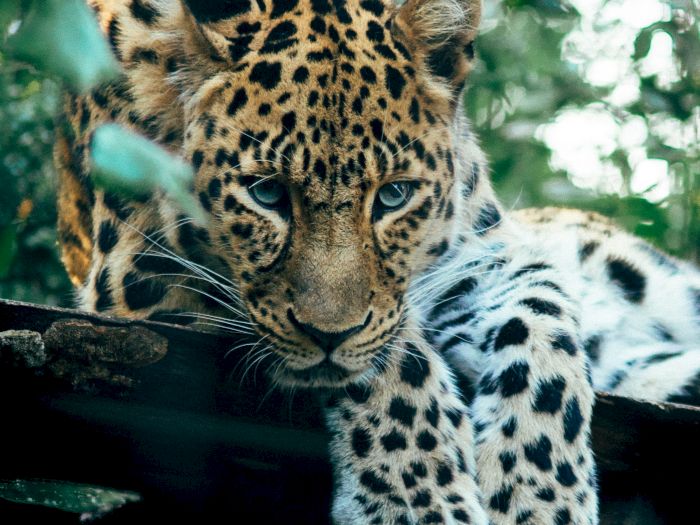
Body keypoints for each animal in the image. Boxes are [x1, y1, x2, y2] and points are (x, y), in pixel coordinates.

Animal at [52, 0, 700, 524]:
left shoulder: (481, 253)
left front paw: (540, 498)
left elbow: (542, 326)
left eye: (394, 196)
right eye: (266, 193)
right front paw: (419, 501)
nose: (327, 334)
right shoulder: (136, 271)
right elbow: (394, 356)